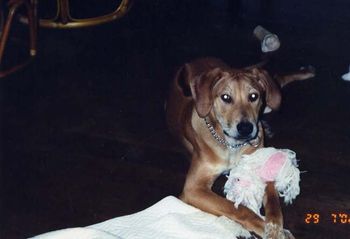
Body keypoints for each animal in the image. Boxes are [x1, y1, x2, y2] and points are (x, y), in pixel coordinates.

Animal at [166, 58, 314, 239]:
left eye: (253, 96)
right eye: (226, 97)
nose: (246, 128)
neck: (231, 145)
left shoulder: (260, 164)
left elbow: (273, 204)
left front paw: (275, 227)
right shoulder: (193, 188)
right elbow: (237, 209)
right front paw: (263, 226)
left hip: (270, 98)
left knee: (276, 87)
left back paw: (306, 71)